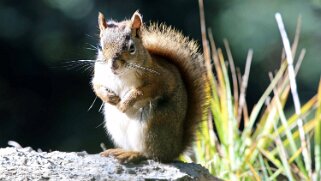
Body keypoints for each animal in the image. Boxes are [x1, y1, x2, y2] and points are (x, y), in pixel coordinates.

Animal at [90, 10, 208, 163]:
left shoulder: (161, 79)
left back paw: (132, 154)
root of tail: (175, 150)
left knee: (152, 154)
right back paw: (119, 150)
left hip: (152, 126)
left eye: (131, 48)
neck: (120, 75)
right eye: (100, 47)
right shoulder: (99, 75)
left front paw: (125, 103)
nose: (113, 65)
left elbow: (144, 91)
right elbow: (96, 86)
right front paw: (109, 97)